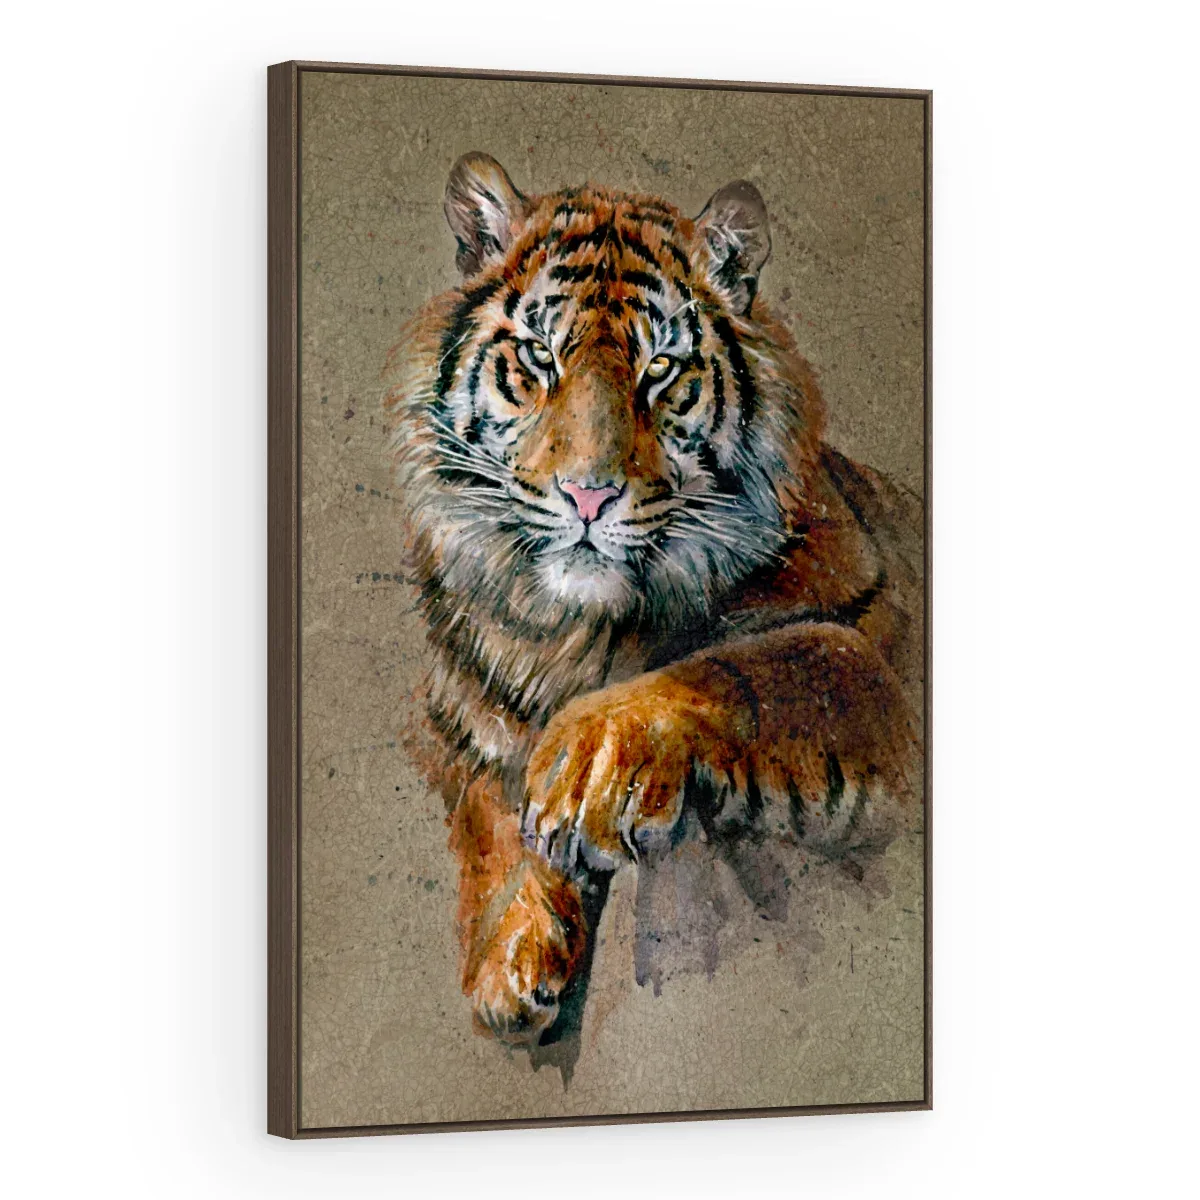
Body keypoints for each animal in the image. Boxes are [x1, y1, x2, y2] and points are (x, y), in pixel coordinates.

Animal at [382, 152, 923, 1046]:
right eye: (540, 357)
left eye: (660, 368)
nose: (588, 495)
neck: (577, 632)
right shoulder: (464, 720)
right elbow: (487, 813)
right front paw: (510, 956)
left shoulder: (868, 651)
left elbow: (750, 664)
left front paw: (590, 765)